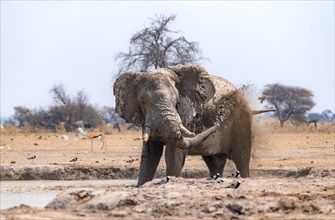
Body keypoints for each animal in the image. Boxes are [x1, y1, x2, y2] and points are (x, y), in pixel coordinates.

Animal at [115, 64, 255, 186]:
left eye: (176, 100)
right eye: (142, 102)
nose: (220, 118)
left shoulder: (187, 114)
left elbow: (174, 155)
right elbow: (149, 155)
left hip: (242, 121)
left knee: (242, 160)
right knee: (214, 162)